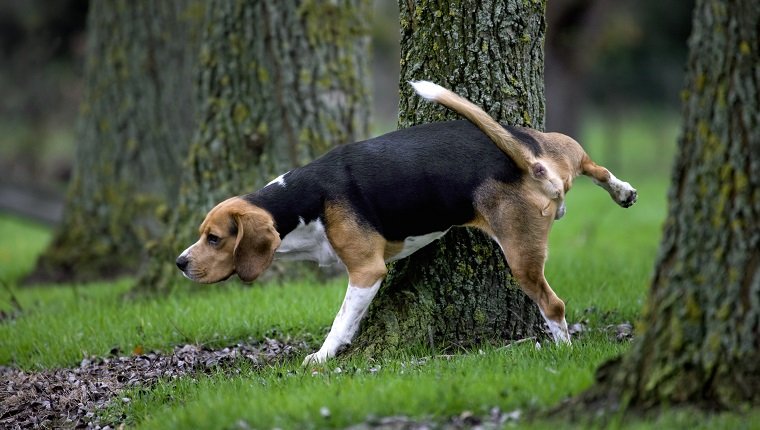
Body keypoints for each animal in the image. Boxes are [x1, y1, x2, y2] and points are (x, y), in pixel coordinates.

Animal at [174, 80, 636, 362]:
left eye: (214, 238)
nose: (180, 262)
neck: (304, 202)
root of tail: (533, 163)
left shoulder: (365, 272)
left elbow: (341, 320)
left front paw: (322, 356)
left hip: (521, 255)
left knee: (554, 305)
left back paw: (562, 348)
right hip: (557, 145)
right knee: (592, 165)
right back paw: (623, 190)